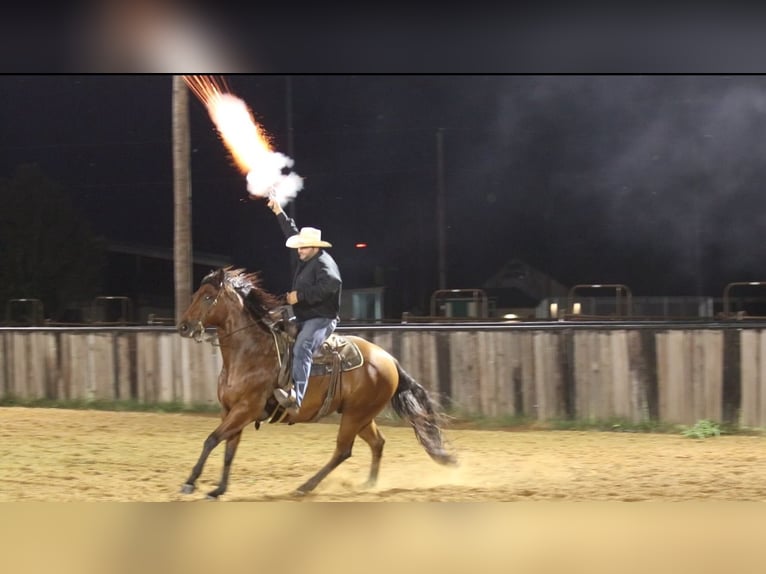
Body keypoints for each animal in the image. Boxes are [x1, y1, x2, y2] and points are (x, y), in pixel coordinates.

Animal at [177, 268, 460, 498]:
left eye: (208, 297)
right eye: (195, 295)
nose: (183, 327)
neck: (250, 353)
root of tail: (389, 359)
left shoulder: (245, 409)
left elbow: (212, 440)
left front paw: (191, 483)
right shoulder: (231, 410)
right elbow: (229, 449)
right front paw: (219, 489)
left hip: (355, 415)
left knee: (343, 451)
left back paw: (306, 486)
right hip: (361, 415)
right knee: (377, 443)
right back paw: (368, 484)